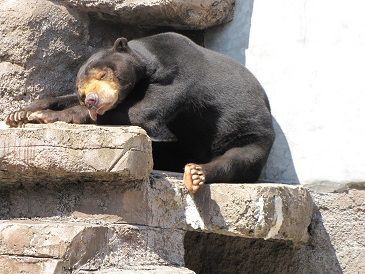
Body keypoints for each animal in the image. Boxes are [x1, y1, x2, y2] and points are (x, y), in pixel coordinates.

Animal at [6, 32, 272, 194]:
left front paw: (46, 116)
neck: (150, 63)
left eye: (103, 74)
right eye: (82, 91)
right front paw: (21, 112)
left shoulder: (179, 75)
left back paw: (196, 173)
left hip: (252, 132)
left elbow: (144, 110)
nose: (92, 100)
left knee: (240, 158)